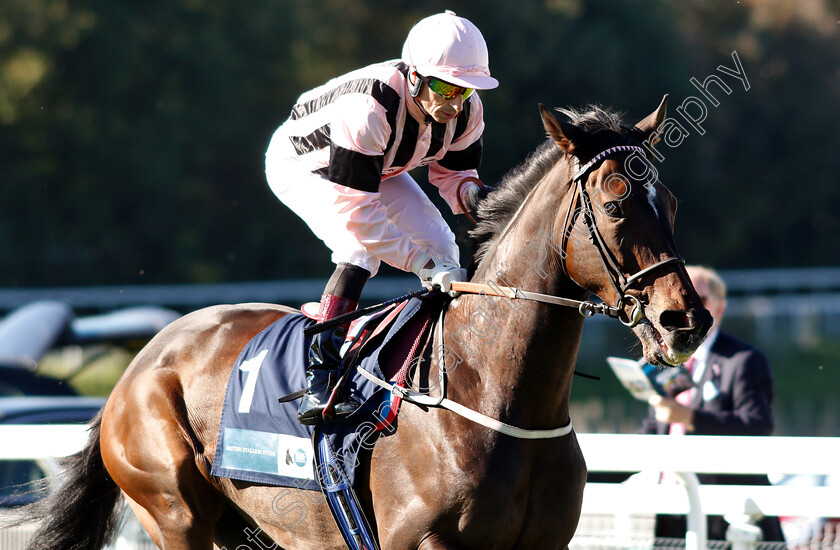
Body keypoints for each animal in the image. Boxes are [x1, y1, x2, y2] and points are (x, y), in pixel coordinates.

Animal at [21, 97, 708, 548]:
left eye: (673, 203)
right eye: (617, 205)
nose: (686, 320)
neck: (499, 397)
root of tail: (143, 361)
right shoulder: (423, 542)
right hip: (173, 512)